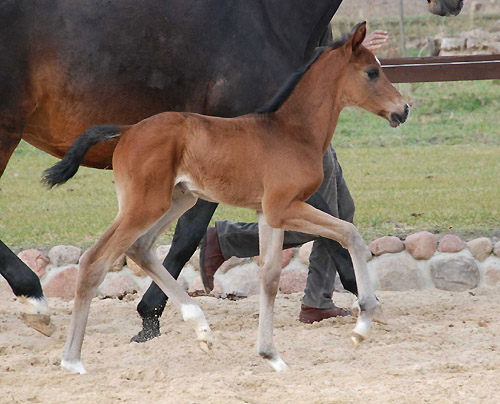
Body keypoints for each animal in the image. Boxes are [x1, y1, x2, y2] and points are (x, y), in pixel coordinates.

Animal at [44, 23, 410, 374]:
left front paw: (270, 354)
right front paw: (364, 320)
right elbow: (351, 233)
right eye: (372, 72)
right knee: (95, 260)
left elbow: (270, 277)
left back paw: (201, 327)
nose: (403, 110)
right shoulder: (284, 207)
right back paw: (72, 360)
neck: (293, 132)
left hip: (178, 200)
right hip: (145, 205)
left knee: (141, 248)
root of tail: (127, 130)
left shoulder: (267, 214)